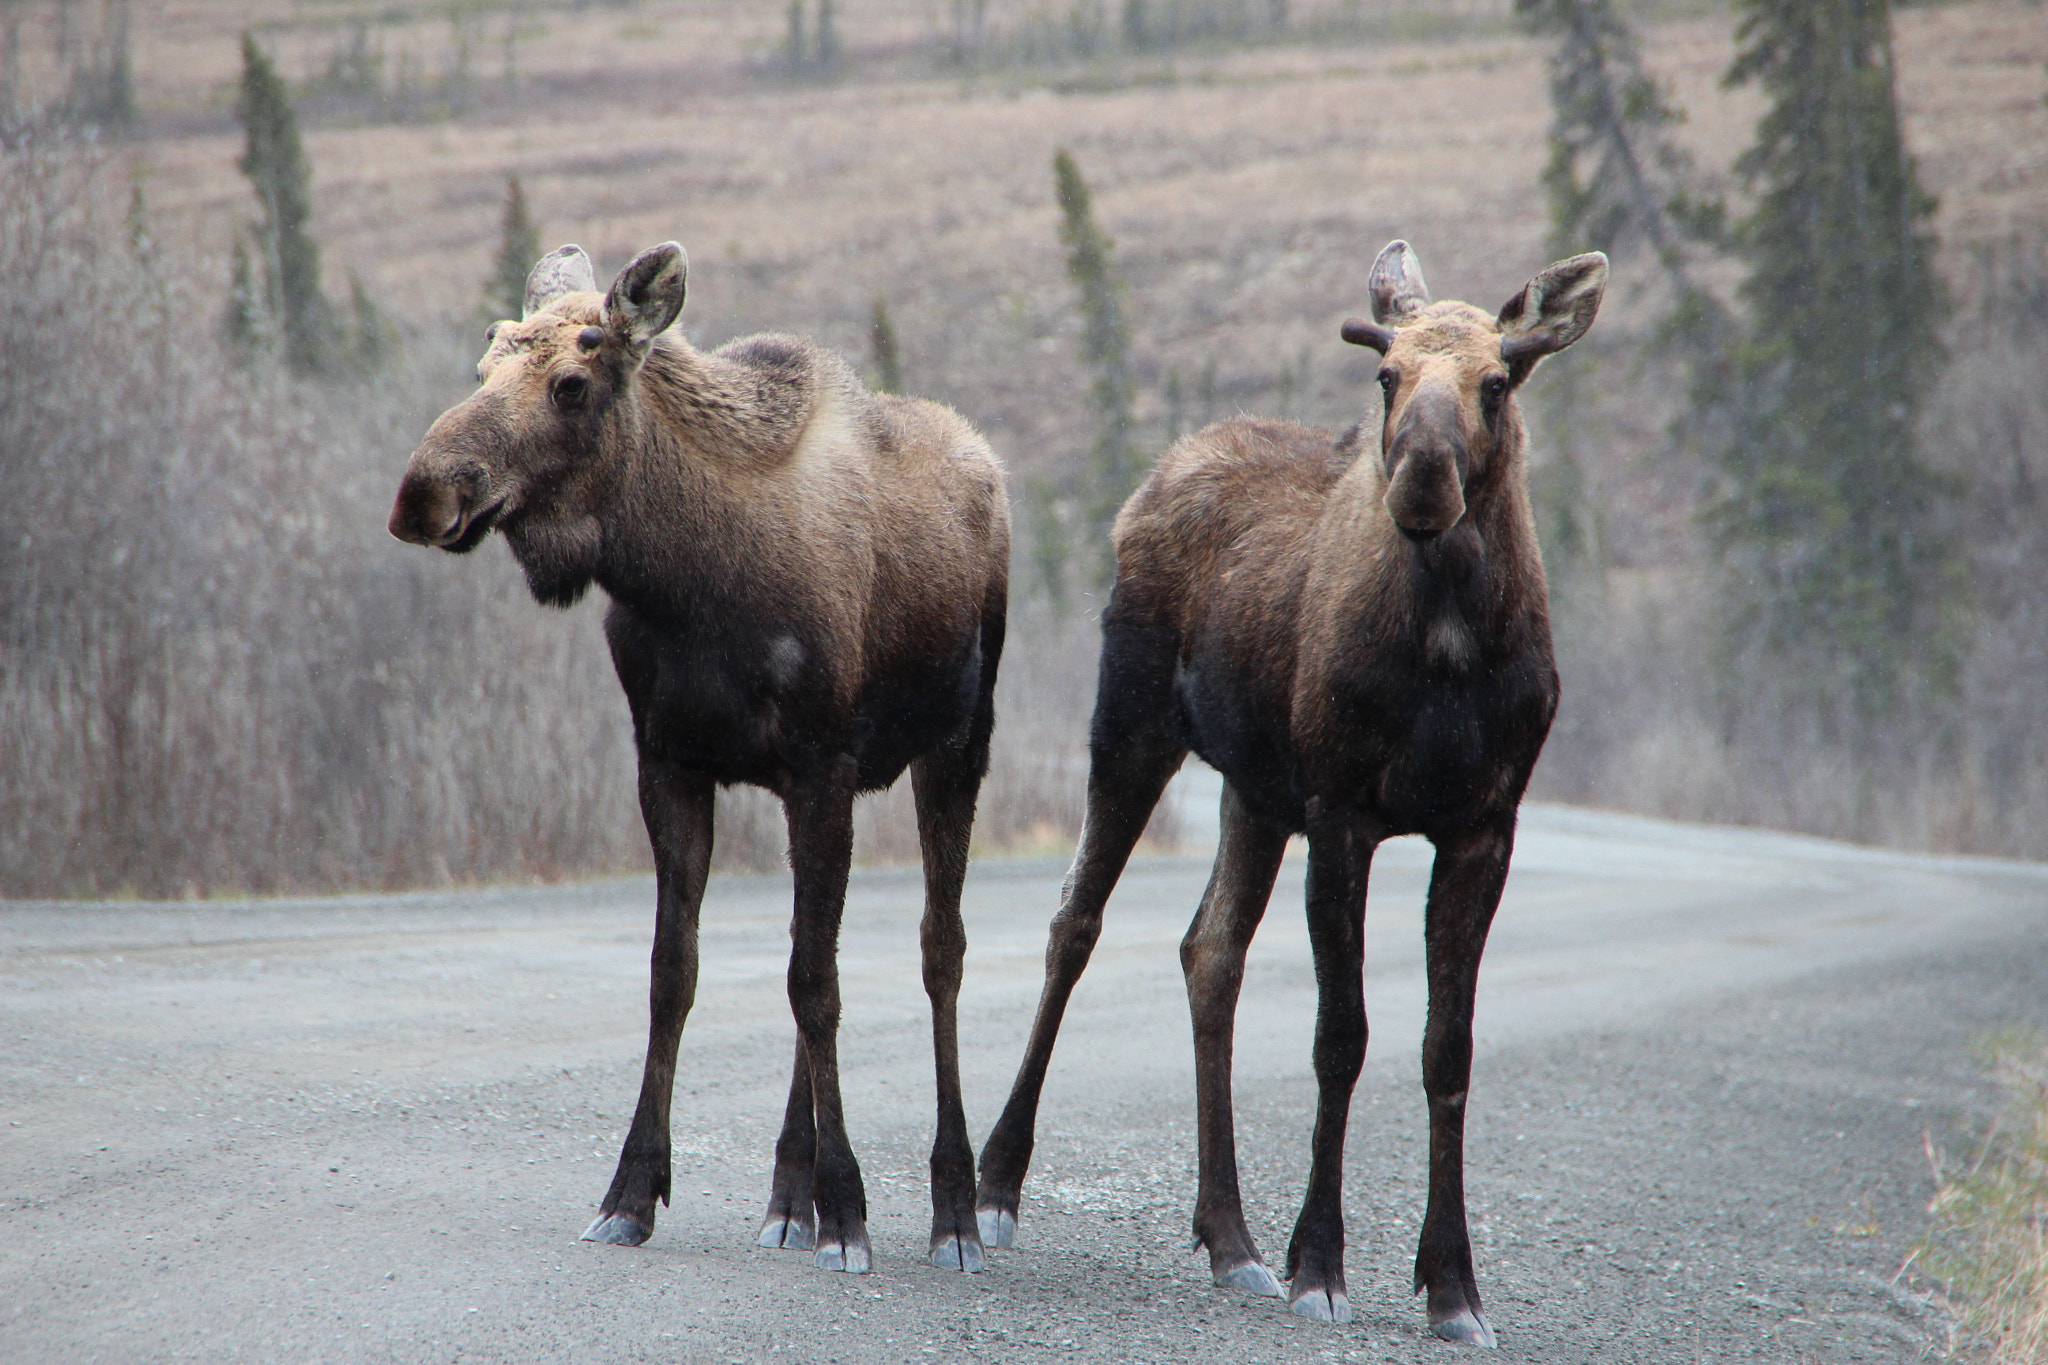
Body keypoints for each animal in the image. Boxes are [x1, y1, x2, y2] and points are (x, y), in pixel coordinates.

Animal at [387, 240, 1011, 1277]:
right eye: (483, 367)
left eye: (570, 383)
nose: (422, 493)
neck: (685, 575)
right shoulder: (670, 761)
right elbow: (678, 973)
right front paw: (632, 1191)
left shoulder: (822, 764)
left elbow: (816, 985)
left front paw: (851, 1207)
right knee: (821, 953)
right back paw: (790, 1197)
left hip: (959, 745)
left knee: (940, 950)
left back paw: (954, 1206)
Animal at [966, 237, 1605, 1342]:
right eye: (1387, 374)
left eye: (1496, 380)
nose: (1422, 479)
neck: (1450, 641)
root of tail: (1152, 479)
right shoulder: (1341, 811)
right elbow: (1339, 1036)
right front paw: (1321, 1260)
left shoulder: (1483, 824)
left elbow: (1446, 1048)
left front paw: (1453, 1285)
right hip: (1132, 727)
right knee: (1074, 923)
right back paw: (996, 1183)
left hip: (1252, 792)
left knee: (1206, 951)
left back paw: (1230, 1236)